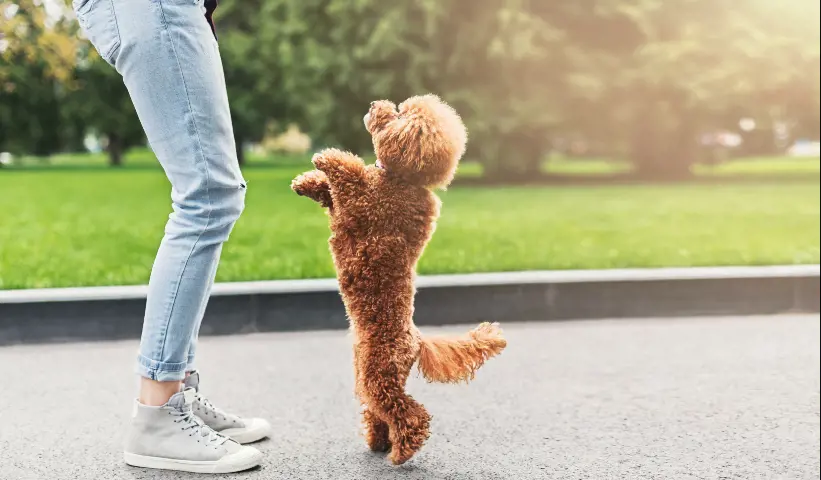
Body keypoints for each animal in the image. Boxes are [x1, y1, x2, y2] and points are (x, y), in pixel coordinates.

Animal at [288, 94, 506, 464]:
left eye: (399, 114)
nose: (375, 103)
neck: (404, 181)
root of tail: (415, 340)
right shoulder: (348, 209)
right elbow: (330, 193)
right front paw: (306, 182)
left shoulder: (366, 205)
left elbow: (350, 175)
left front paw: (327, 157)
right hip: (368, 376)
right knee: (378, 411)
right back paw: (379, 441)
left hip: (380, 375)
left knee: (409, 413)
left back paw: (403, 450)